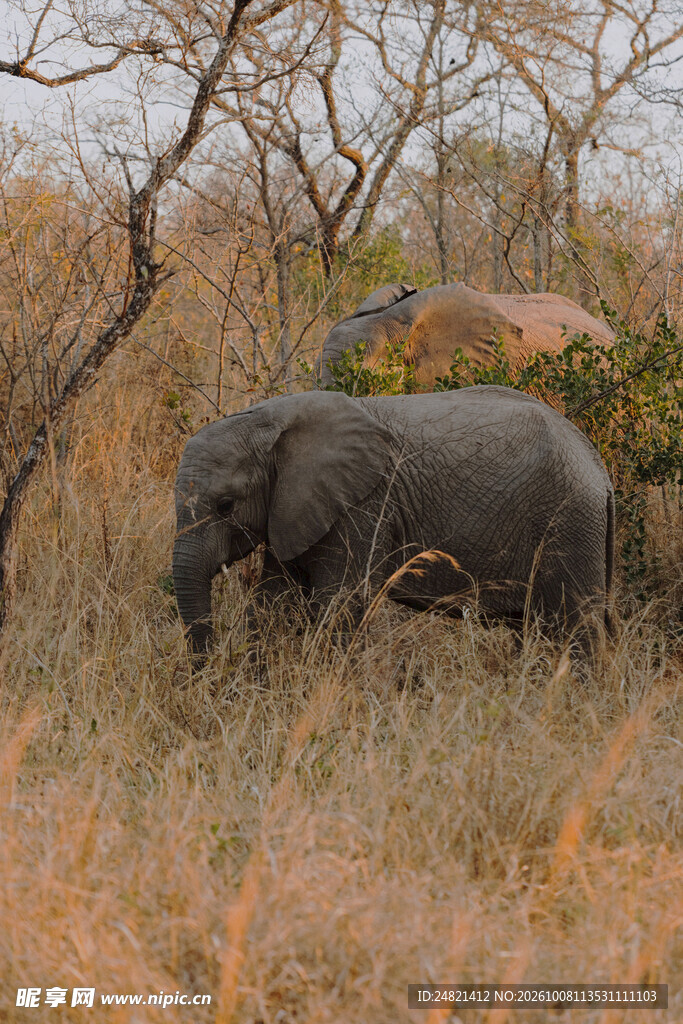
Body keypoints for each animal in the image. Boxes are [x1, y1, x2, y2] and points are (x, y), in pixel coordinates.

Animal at [172, 387, 614, 656]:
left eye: (225, 505)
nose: (206, 668)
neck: (270, 418)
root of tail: (600, 470)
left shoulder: (364, 505)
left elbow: (337, 605)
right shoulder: (293, 507)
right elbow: (273, 602)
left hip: (570, 521)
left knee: (576, 627)